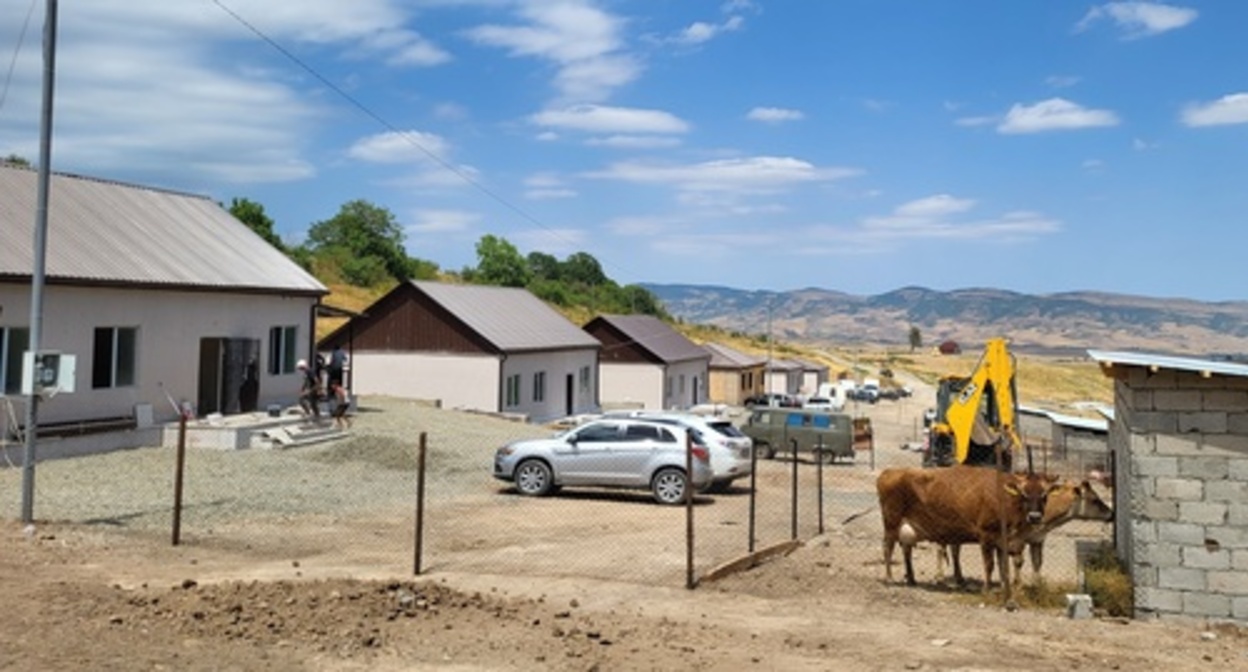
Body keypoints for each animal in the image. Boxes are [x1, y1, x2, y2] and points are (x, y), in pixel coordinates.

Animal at [873, 462, 1058, 594]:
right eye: (1024, 494)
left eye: (1044, 495)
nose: (1035, 516)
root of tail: (889, 471)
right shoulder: (986, 535)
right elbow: (990, 564)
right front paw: (986, 589)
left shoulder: (1005, 540)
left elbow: (1004, 565)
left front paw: (1004, 587)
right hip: (891, 523)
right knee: (888, 547)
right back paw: (889, 578)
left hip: (906, 528)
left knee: (906, 549)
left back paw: (911, 579)